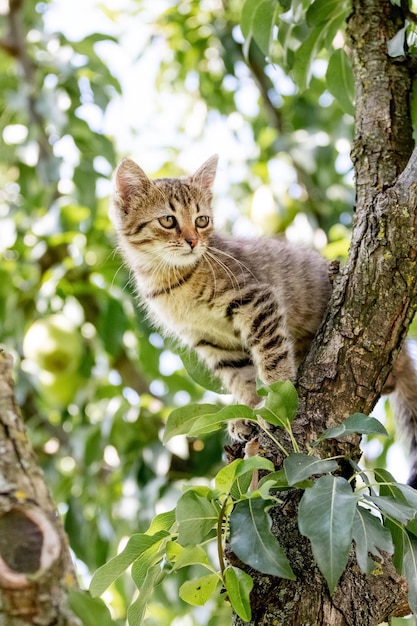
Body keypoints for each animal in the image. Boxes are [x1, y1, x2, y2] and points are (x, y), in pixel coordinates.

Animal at [110, 154, 416, 486]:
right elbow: (240, 377)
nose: (193, 241)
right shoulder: (211, 339)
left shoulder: (257, 300)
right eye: (168, 220)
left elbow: (272, 358)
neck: (172, 279)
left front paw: (274, 403)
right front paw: (249, 409)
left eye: (202, 220)